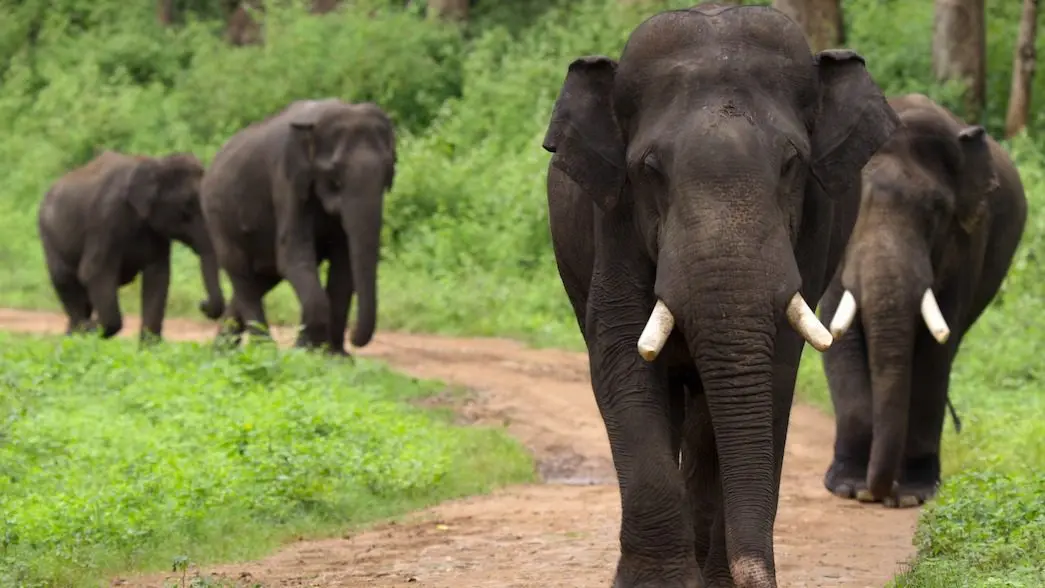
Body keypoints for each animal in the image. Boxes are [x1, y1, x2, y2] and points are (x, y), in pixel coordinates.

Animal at [39, 149, 226, 340]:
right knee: (66, 282)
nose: (202, 304)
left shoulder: (156, 234)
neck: (156, 164)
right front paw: (91, 326)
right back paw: (80, 328)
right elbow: (93, 272)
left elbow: (158, 277)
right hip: (49, 236)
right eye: (186, 207)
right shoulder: (105, 219)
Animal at [199, 98, 395, 355]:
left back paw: (221, 350)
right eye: (335, 175)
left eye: (388, 171)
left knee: (262, 278)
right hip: (218, 218)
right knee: (242, 273)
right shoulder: (287, 181)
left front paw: (334, 356)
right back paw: (265, 351)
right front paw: (306, 352)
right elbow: (294, 254)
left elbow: (343, 263)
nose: (354, 337)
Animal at [539, 2, 898, 584]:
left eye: (792, 163)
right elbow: (620, 354)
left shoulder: (813, 228)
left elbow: (773, 374)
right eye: (649, 168)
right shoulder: (614, 216)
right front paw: (657, 584)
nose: (757, 577)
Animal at [815, 94, 1028, 507]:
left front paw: (912, 496)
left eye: (936, 211)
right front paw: (850, 488)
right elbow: (837, 332)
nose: (877, 492)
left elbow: (935, 349)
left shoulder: (967, 241)